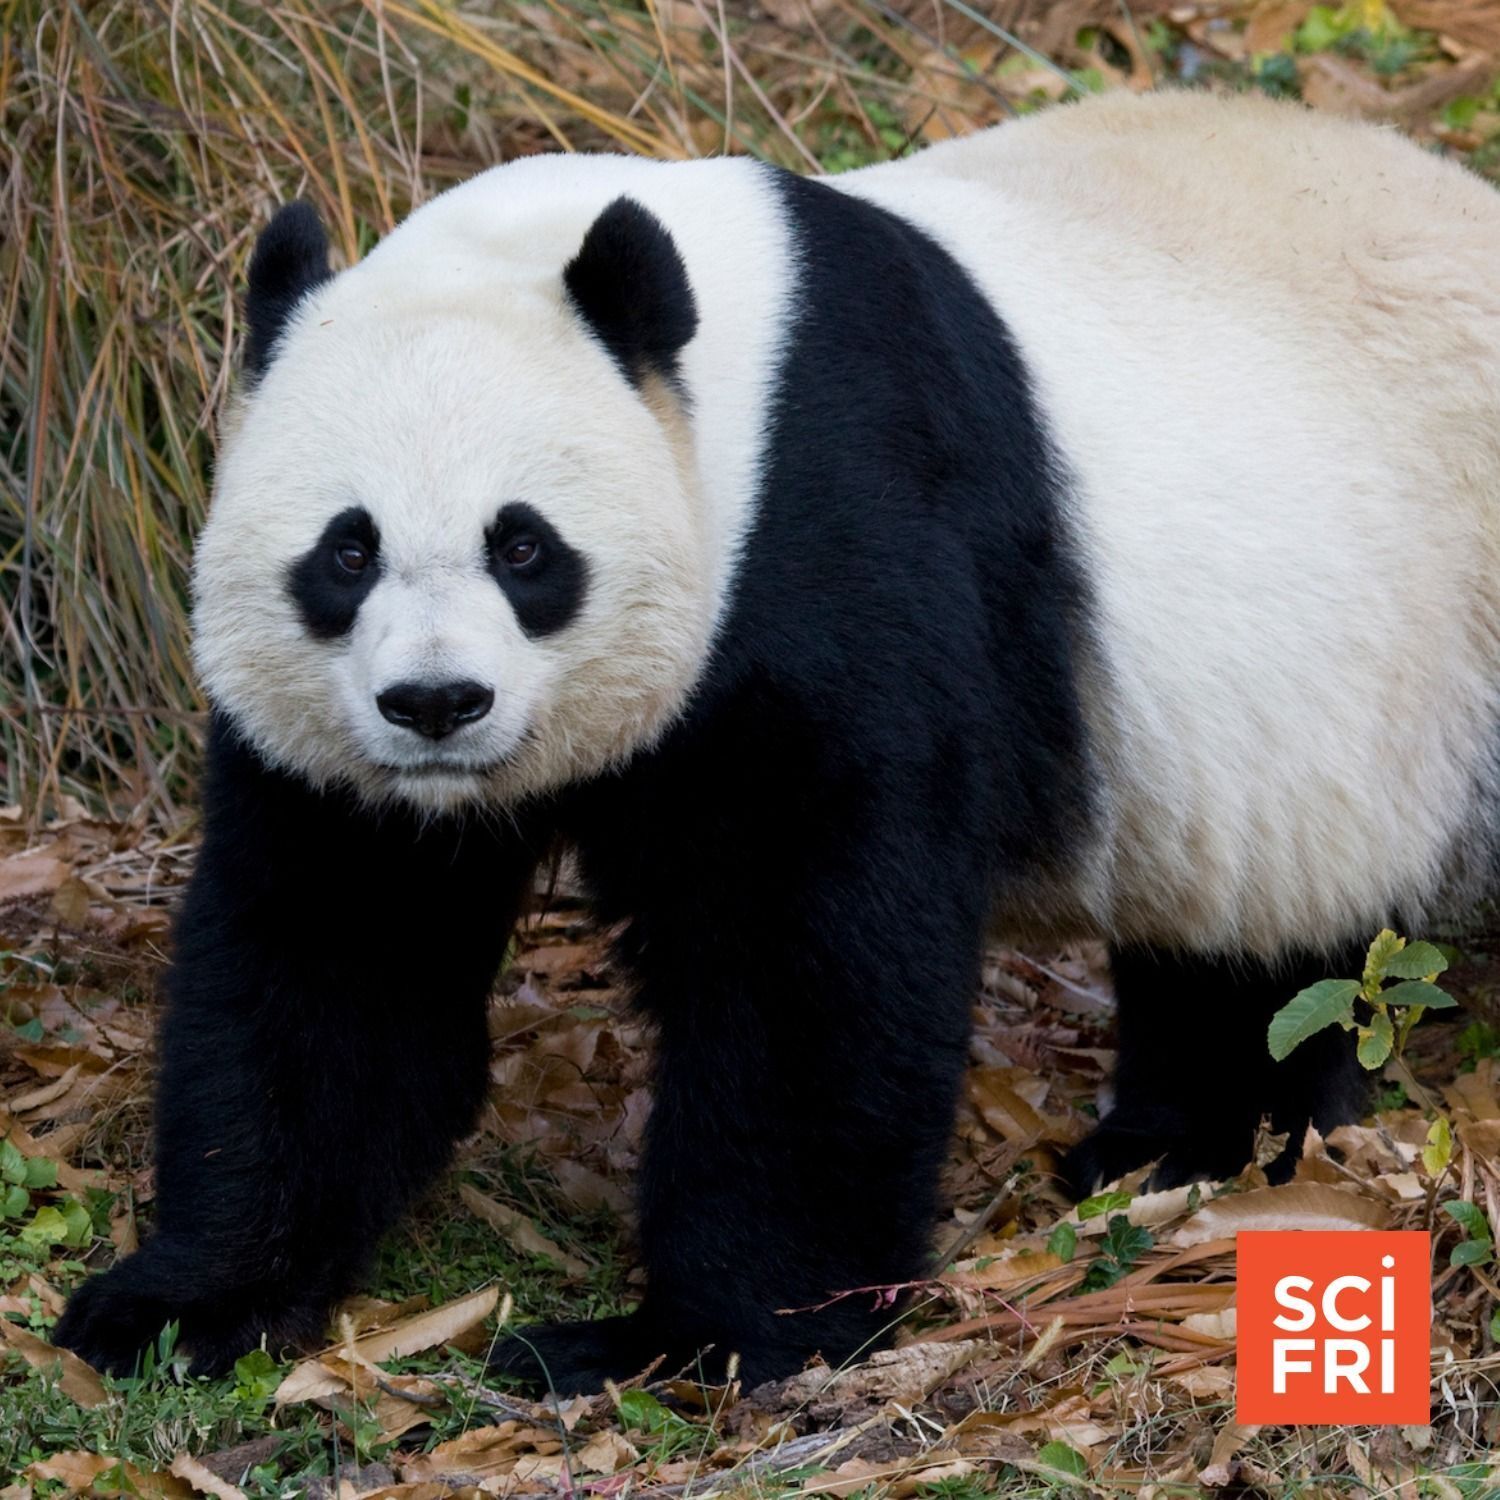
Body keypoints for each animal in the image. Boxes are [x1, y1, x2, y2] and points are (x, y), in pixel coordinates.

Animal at [56, 89, 1500, 1392]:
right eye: (345, 552)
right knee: (1250, 936)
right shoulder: (348, 764)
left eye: (523, 547)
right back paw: (1177, 1142)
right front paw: (181, 1304)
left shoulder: (838, 530)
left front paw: (691, 1337)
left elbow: (807, 959)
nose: (434, 706)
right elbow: (338, 957)